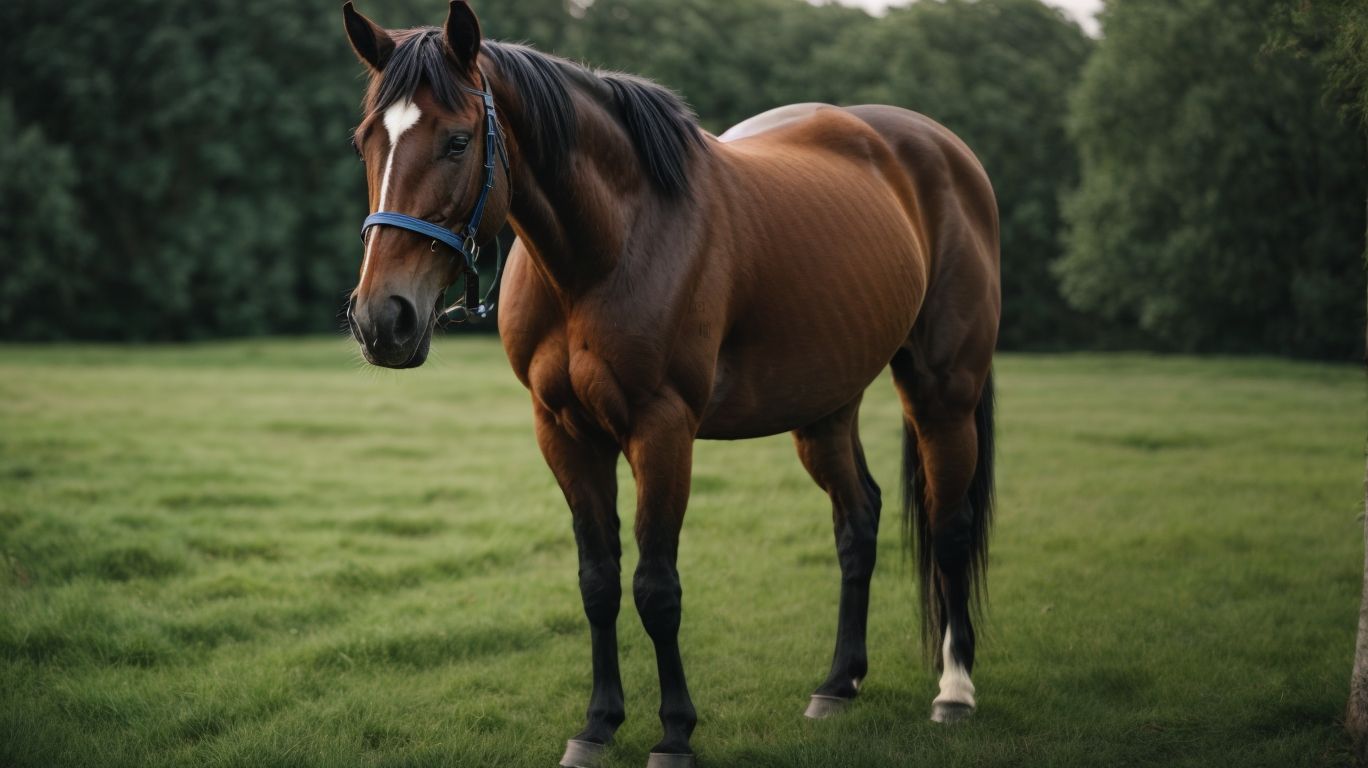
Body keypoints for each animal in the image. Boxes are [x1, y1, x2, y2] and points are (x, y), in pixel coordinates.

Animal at [342, 3, 1000, 766]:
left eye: (456, 141)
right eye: (366, 142)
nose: (382, 318)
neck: (611, 246)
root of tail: (944, 150)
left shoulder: (661, 429)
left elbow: (656, 588)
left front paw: (675, 732)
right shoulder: (563, 431)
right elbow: (598, 582)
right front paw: (597, 724)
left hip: (943, 392)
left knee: (949, 529)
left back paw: (955, 692)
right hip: (826, 405)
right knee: (857, 522)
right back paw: (838, 684)